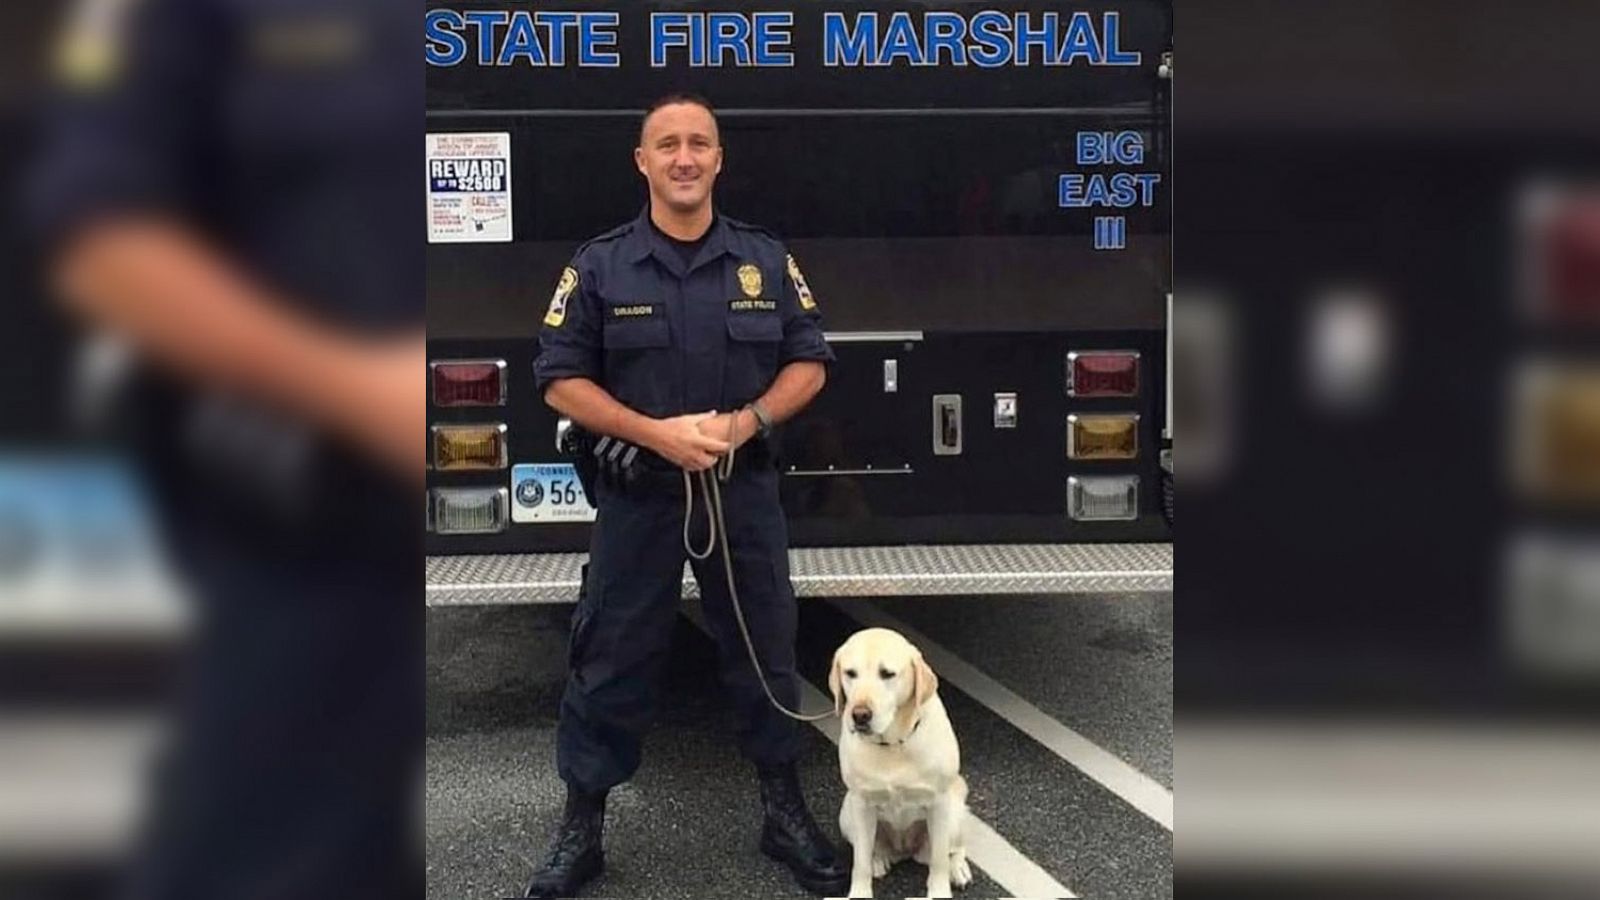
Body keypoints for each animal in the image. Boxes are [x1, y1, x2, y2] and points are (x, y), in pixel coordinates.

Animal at [832, 627, 966, 890]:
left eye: (887, 674)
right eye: (850, 673)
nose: (860, 715)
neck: (893, 745)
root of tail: (903, 850)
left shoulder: (939, 803)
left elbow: (939, 862)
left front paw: (940, 890)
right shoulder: (861, 804)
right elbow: (859, 864)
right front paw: (859, 891)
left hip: (954, 815)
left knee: (952, 849)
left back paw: (958, 867)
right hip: (846, 814)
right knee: (869, 850)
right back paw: (877, 859)